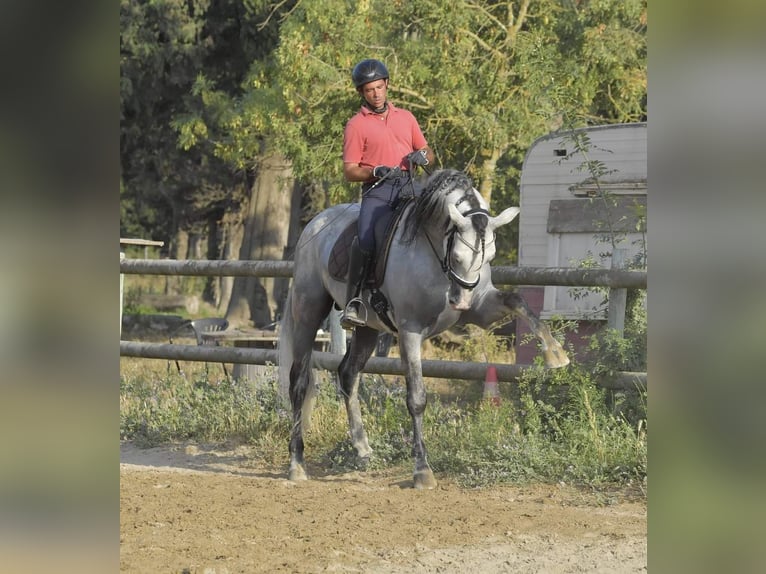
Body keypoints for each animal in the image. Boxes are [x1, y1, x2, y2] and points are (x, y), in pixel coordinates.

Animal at [278, 170, 568, 490]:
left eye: (490, 256)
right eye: (457, 256)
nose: (461, 302)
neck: (434, 253)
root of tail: (315, 224)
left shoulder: (482, 309)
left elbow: (517, 300)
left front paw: (555, 354)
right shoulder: (410, 331)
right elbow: (416, 398)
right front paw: (422, 470)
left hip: (368, 329)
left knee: (348, 374)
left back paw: (363, 448)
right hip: (308, 311)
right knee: (299, 383)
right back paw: (297, 463)